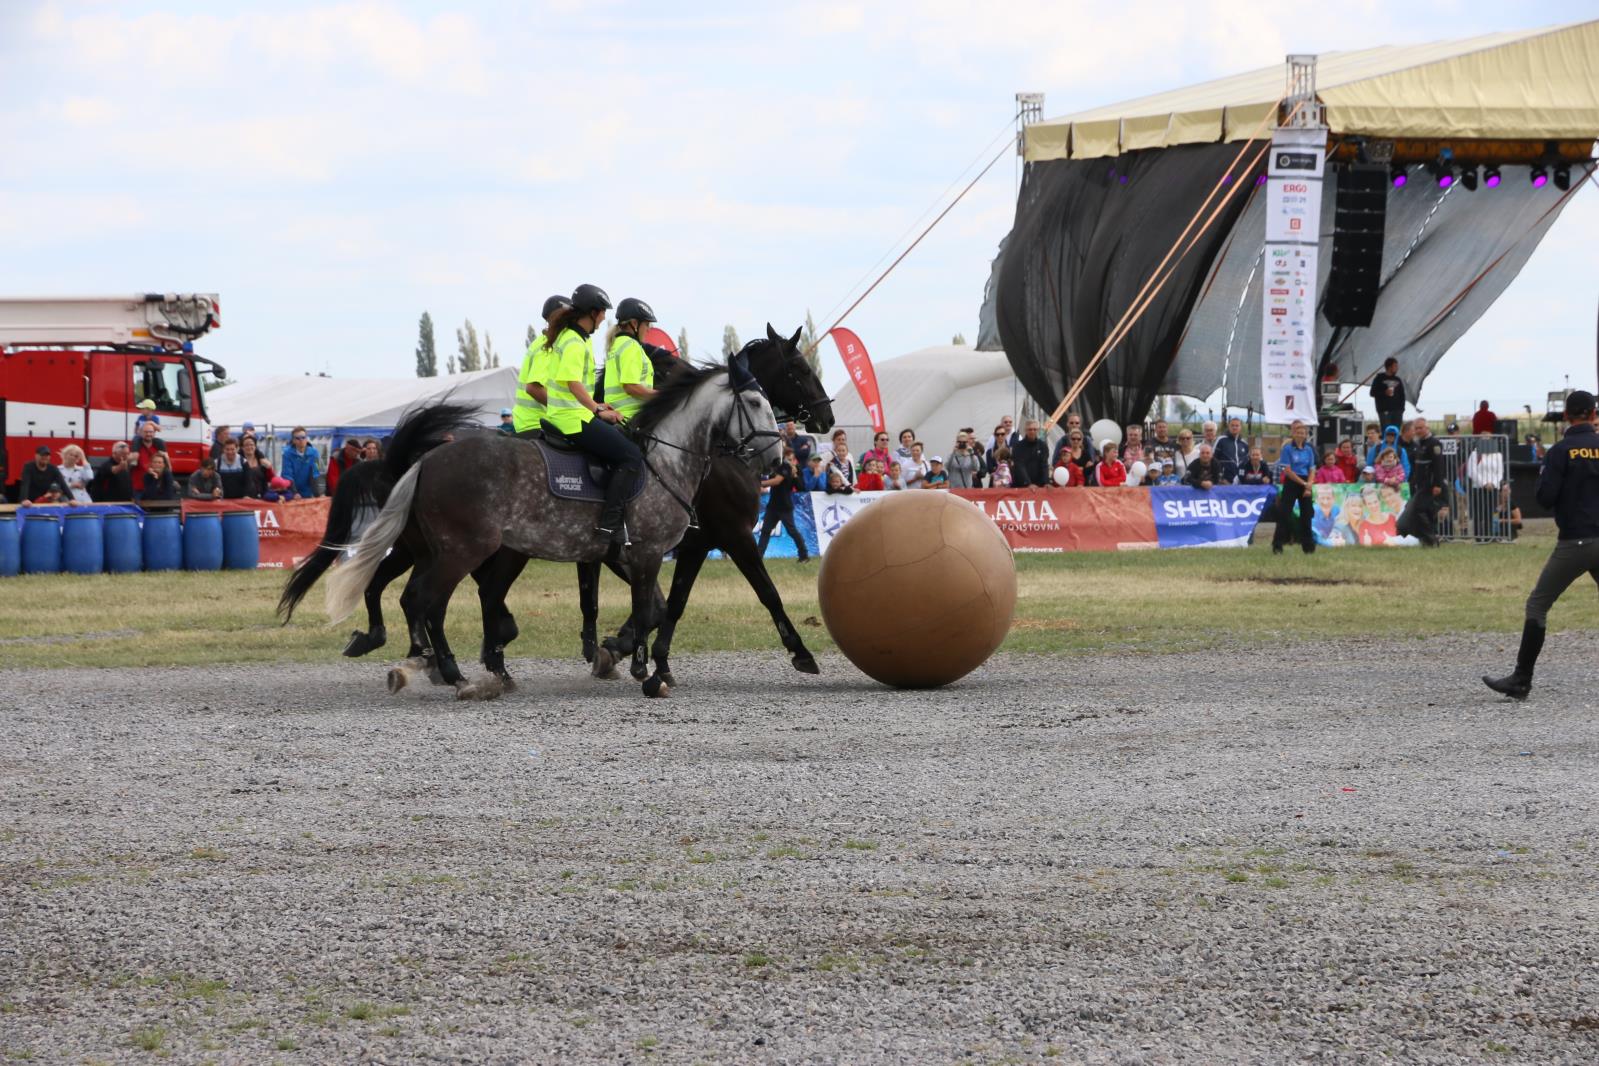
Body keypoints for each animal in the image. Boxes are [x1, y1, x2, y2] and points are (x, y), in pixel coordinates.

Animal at [279, 326, 837, 687]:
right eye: (794, 370)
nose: (780, 455)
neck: (669, 455)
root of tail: (427, 458)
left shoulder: (675, 548)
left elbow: (662, 607)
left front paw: (637, 659)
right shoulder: (677, 546)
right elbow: (707, 600)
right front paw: (641, 666)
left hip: (463, 549)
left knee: (426, 595)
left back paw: (448, 661)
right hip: (463, 550)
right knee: (426, 601)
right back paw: (450, 669)